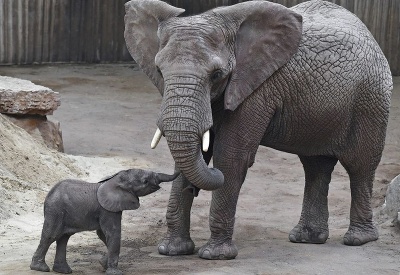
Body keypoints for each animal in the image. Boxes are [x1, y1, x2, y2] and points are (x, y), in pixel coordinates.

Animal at [28, 169, 177, 274]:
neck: (115, 180)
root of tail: (48, 196)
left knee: (63, 238)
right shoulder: (107, 209)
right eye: (145, 181)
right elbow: (112, 233)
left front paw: (102, 264)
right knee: (51, 235)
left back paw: (63, 271)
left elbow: (103, 235)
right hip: (56, 211)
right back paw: (40, 268)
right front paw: (115, 272)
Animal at [123, 0, 392, 260]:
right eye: (159, 71)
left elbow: (231, 157)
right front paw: (172, 250)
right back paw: (307, 237)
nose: (194, 189)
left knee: (360, 165)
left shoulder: (256, 88)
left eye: (217, 75)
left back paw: (358, 239)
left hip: (371, 99)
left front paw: (215, 255)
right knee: (315, 165)